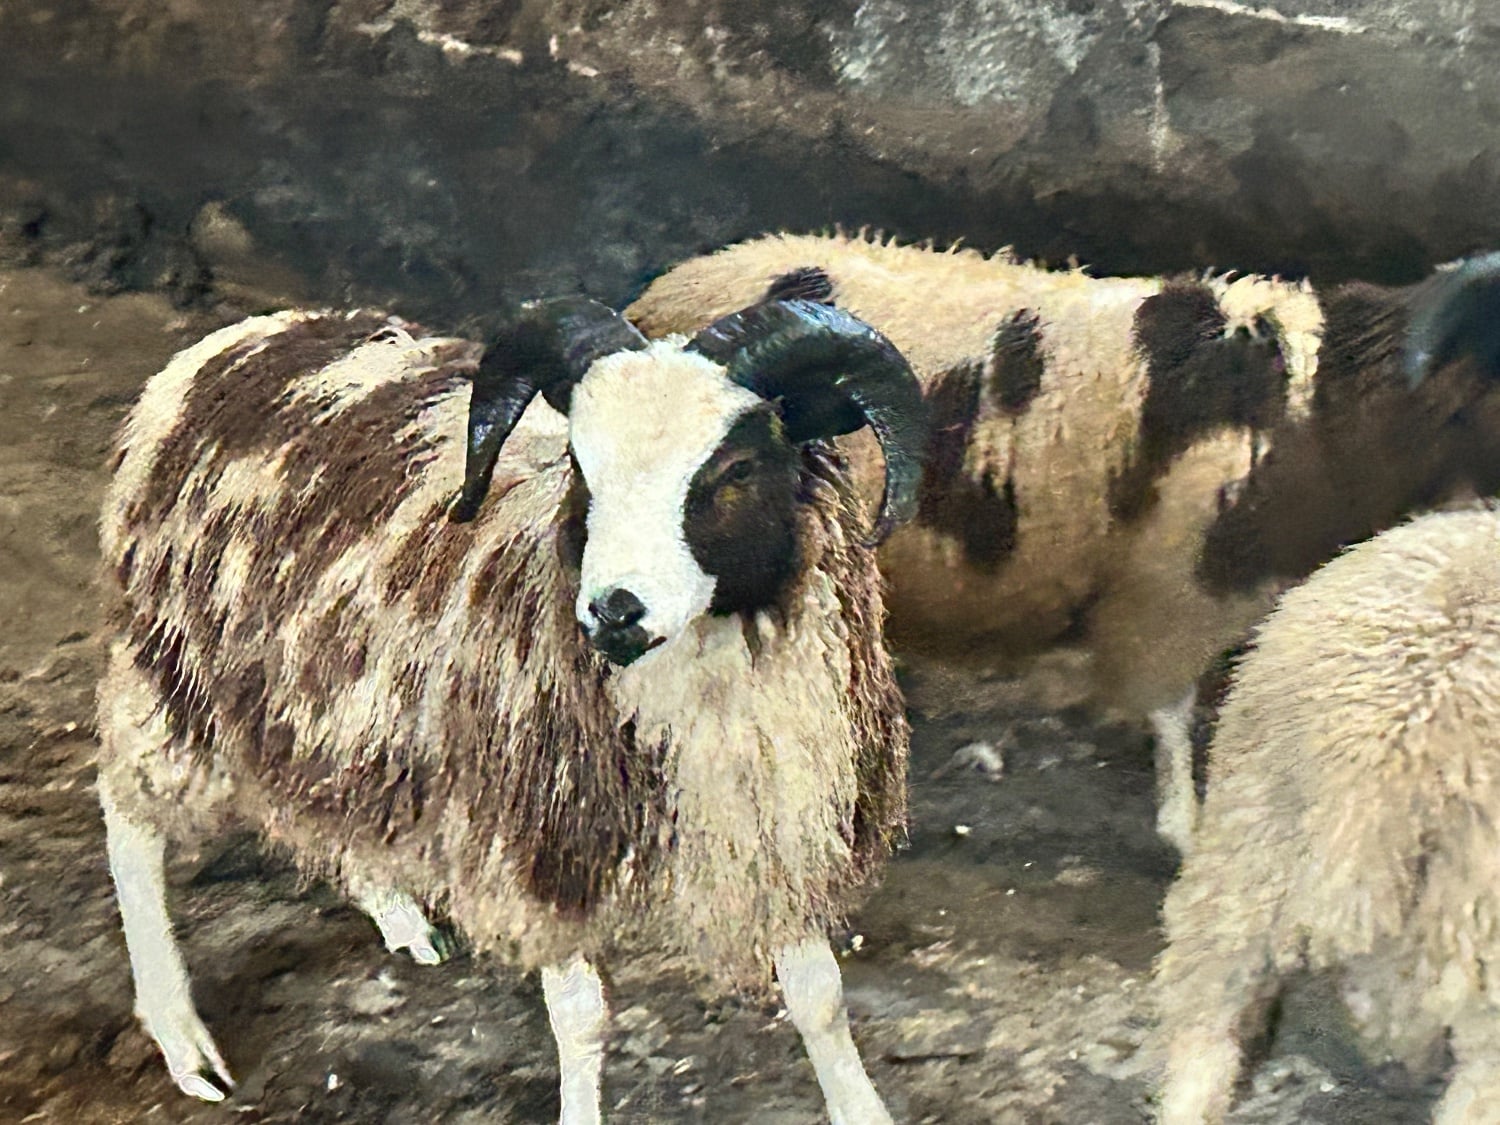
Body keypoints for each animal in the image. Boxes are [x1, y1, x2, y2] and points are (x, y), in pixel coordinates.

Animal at [95, 292, 928, 1123]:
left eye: (736, 468)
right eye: (580, 465)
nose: (613, 609)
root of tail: (234, 342)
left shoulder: (778, 821)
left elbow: (820, 997)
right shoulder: (534, 838)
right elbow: (583, 1019)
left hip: (329, 699)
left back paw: (400, 915)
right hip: (173, 671)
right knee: (129, 821)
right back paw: (180, 1036)